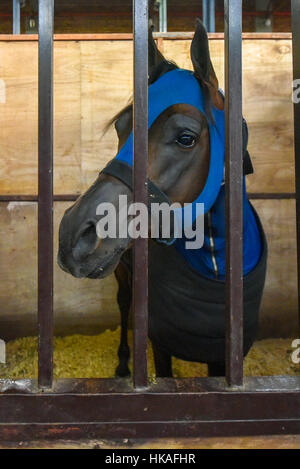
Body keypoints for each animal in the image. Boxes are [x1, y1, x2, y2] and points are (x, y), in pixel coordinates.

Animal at [58, 22, 268, 380]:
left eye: (185, 137)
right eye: (121, 126)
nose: (74, 233)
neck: (216, 264)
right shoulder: (161, 343)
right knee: (124, 304)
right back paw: (123, 364)